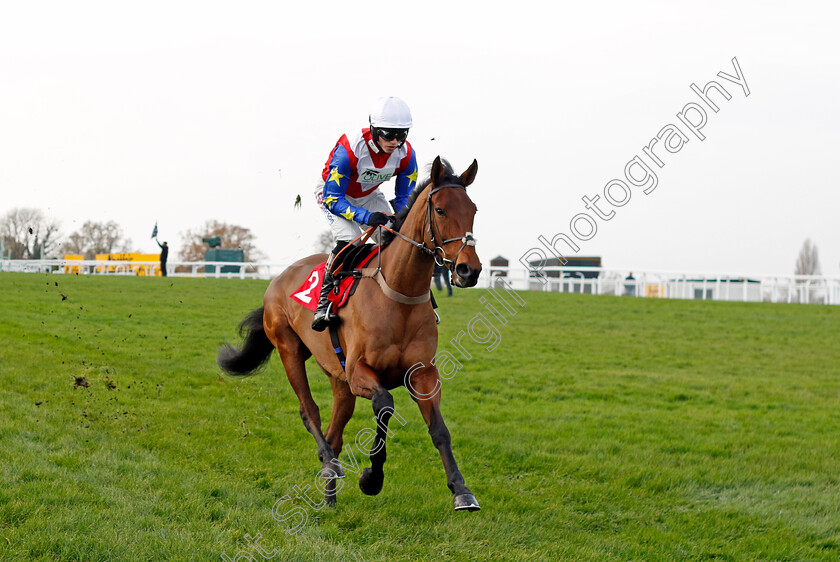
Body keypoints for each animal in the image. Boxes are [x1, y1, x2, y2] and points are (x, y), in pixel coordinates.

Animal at [220, 155, 482, 510]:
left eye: (473, 210)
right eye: (440, 210)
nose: (470, 270)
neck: (397, 294)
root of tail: (278, 278)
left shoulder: (422, 373)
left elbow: (440, 430)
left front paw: (461, 490)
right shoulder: (360, 372)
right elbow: (385, 404)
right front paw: (371, 478)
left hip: (339, 379)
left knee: (335, 432)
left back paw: (330, 493)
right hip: (290, 349)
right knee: (310, 412)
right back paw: (329, 463)